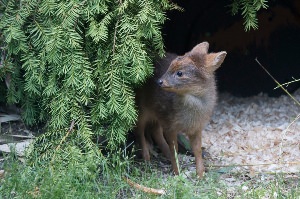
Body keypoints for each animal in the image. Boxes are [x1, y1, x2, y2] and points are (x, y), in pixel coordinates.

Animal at [135, 41, 226, 177]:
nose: (159, 81)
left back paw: (164, 155)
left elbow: (197, 149)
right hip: (142, 110)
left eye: (180, 73)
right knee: (139, 130)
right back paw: (147, 159)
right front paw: (177, 173)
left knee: (154, 130)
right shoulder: (170, 126)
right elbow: (175, 149)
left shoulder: (196, 128)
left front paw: (200, 174)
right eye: (169, 67)